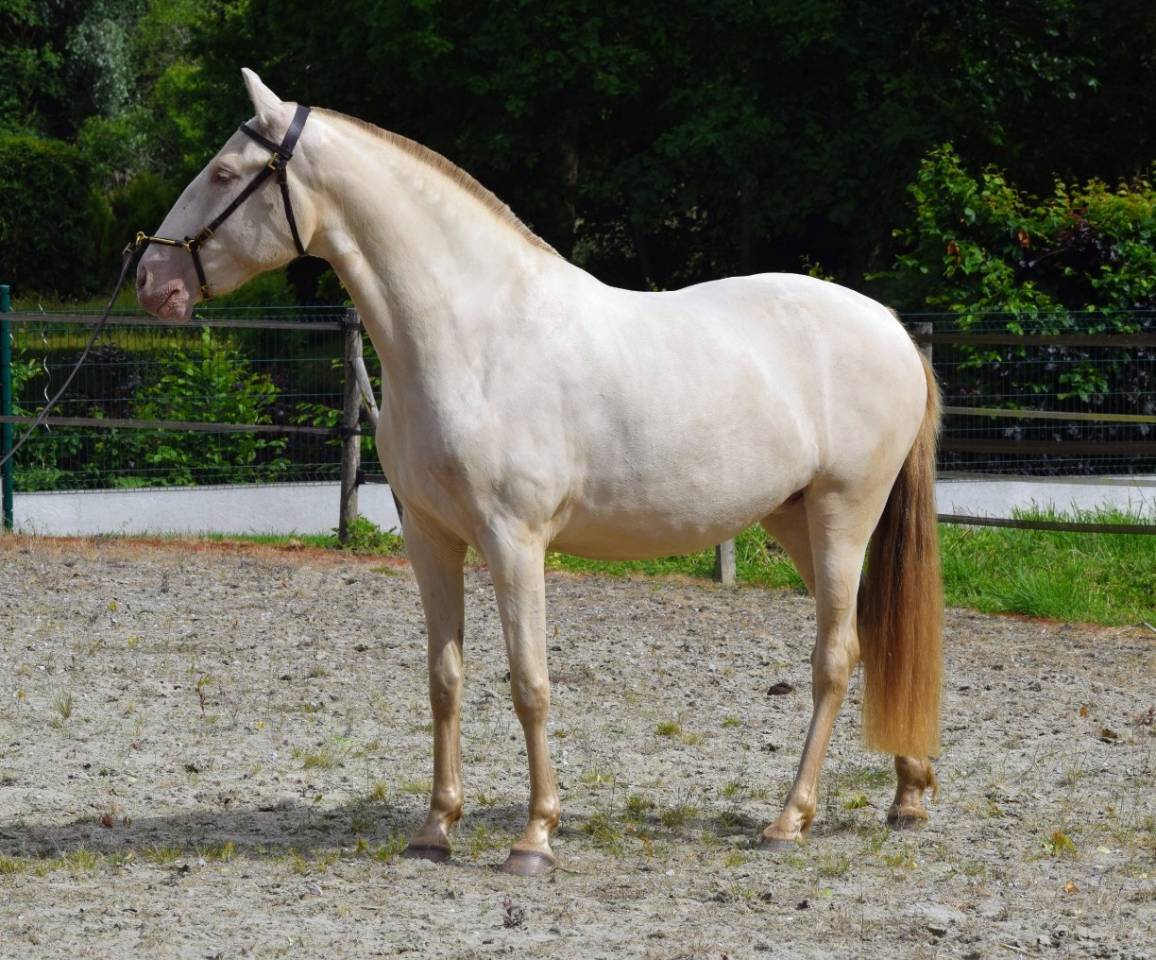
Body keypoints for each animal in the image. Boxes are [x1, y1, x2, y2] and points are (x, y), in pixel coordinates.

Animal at [137, 69, 943, 877]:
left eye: (224, 173)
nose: (149, 278)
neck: (474, 337)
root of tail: (892, 329)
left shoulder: (513, 542)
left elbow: (530, 683)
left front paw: (535, 837)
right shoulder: (430, 539)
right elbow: (445, 680)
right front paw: (435, 828)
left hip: (843, 514)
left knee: (833, 658)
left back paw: (790, 817)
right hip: (795, 518)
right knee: (867, 641)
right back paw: (907, 793)